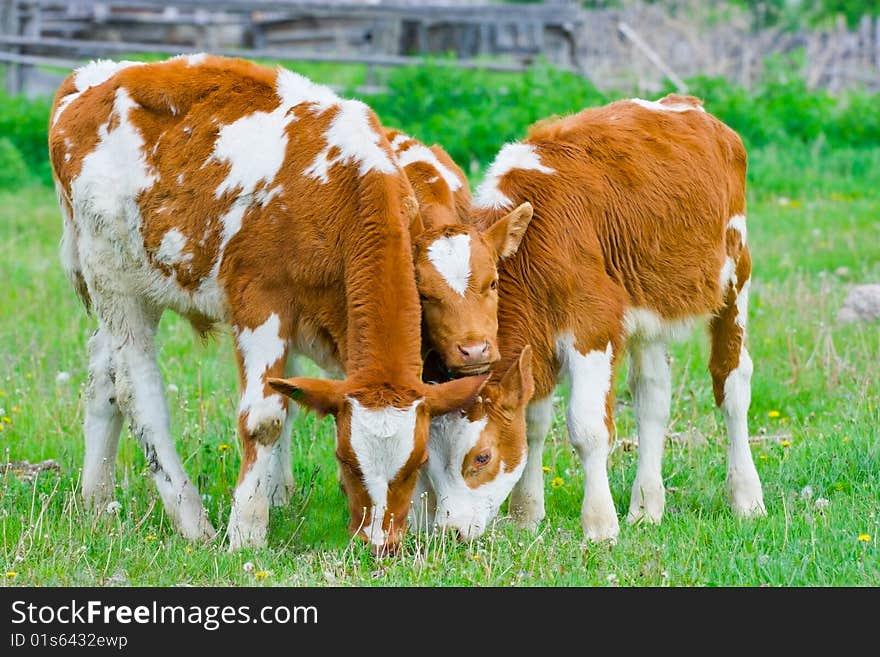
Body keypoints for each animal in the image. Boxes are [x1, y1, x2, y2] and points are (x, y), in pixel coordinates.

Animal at [48, 53, 488, 552]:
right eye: (346, 460)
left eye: (414, 464)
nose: (378, 544)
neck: (337, 188)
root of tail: (96, 75)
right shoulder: (260, 302)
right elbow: (265, 419)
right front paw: (246, 531)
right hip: (117, 282)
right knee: (135, 391)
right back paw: (191, 519)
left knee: (102, 378)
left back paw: (96, 502)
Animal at [416, 93, 768, 544]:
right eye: (429, 459)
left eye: (481, 457)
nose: (450, 531)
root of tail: (685, 103)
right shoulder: (539, 339)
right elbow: (534, 421)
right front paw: (527, 514)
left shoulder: (592, 326)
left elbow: (586, 428)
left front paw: (600, 524)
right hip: (648, 309)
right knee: (652, 395)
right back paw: (646, 507)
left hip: (735, 277)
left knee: (733, 383)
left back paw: (746, 497)